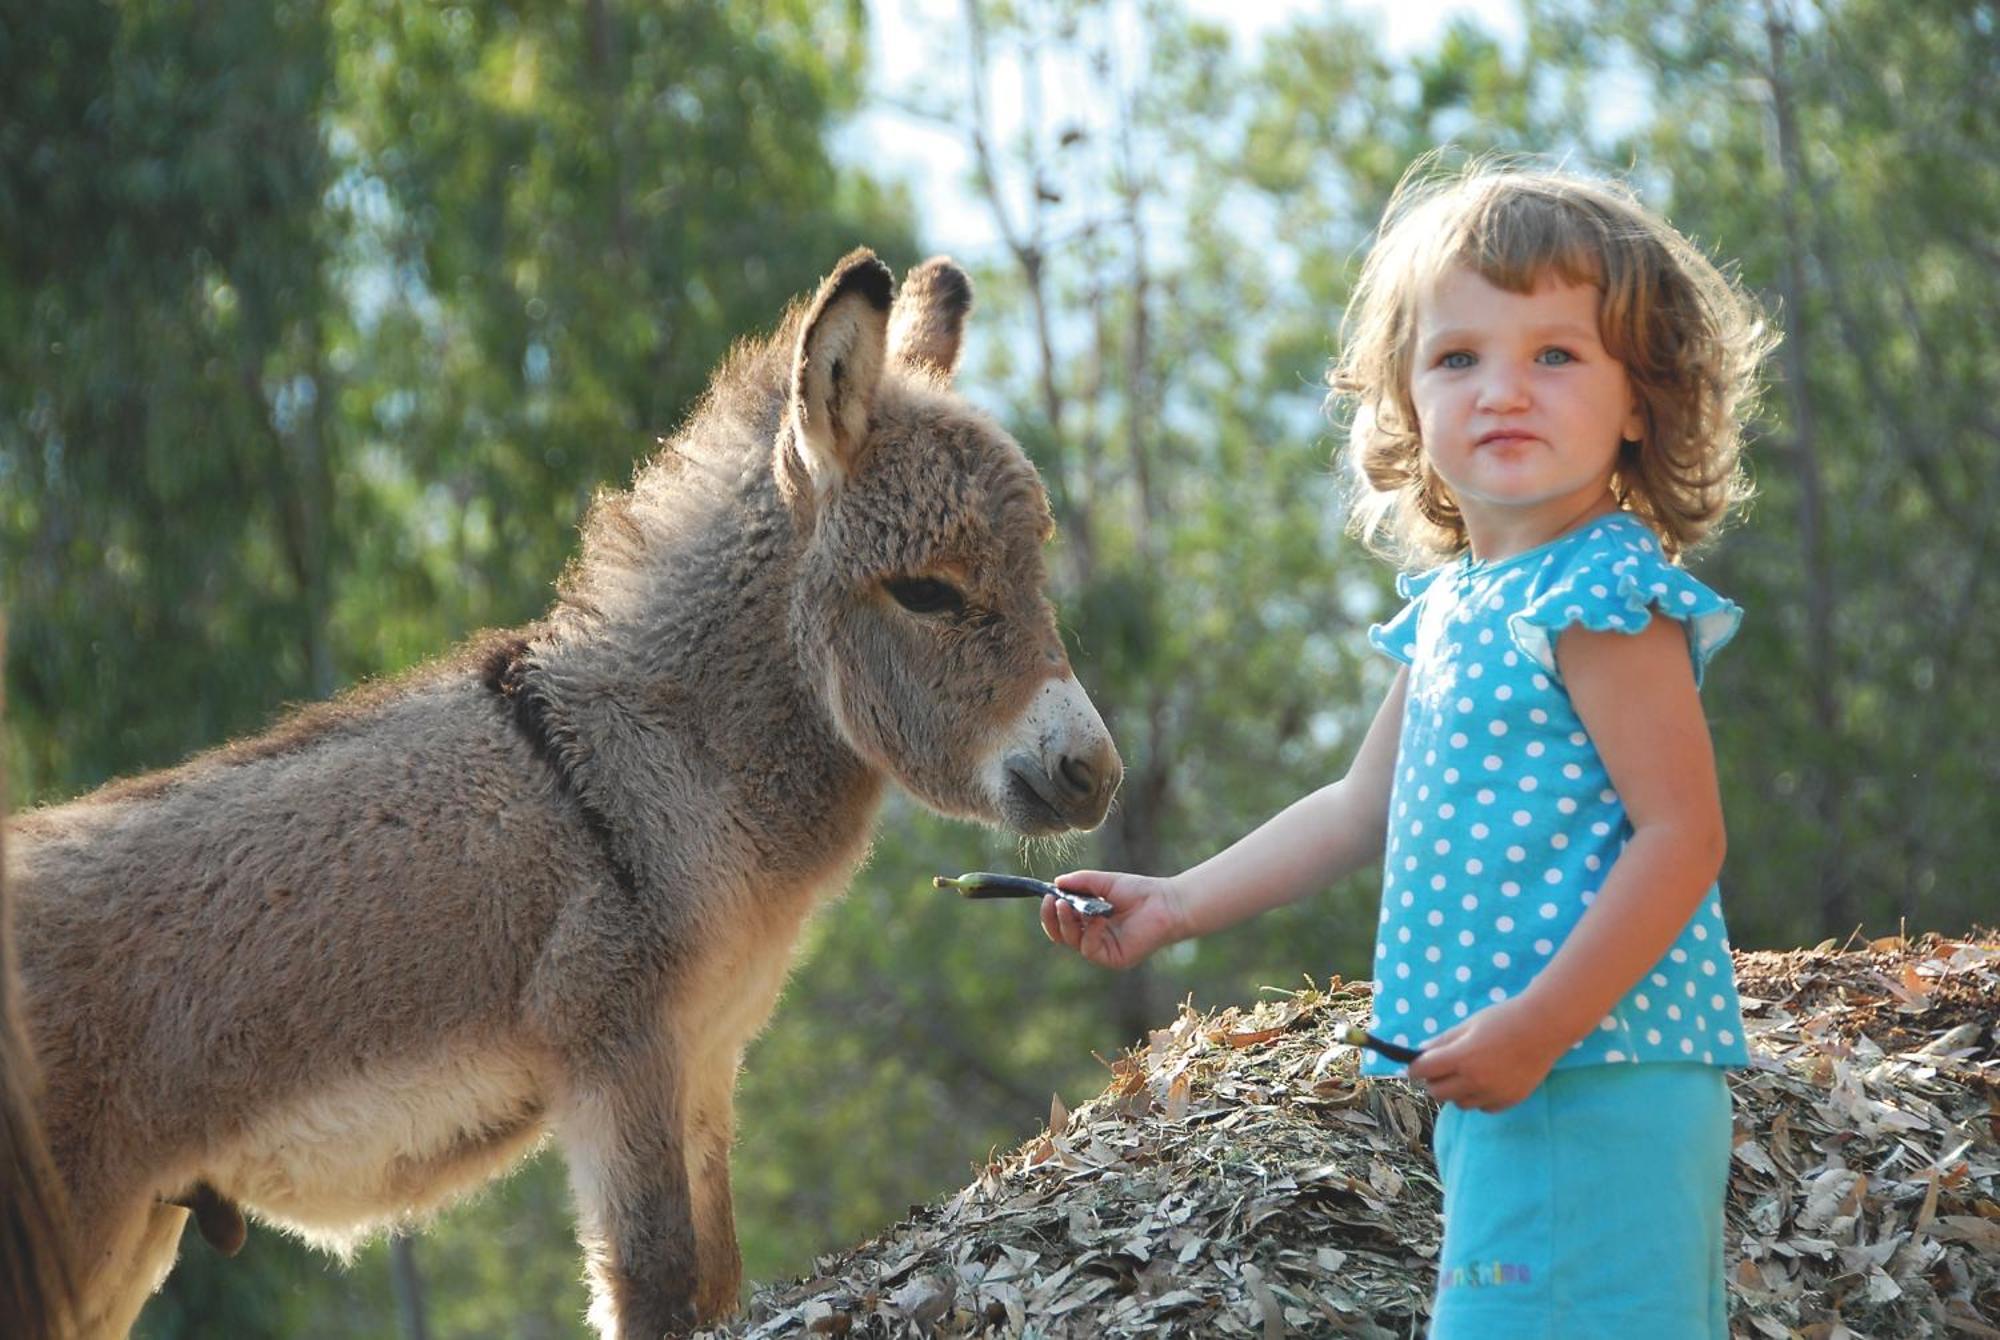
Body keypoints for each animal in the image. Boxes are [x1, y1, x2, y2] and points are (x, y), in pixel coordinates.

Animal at [7, 252, 1120, 1340]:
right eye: (925, 590)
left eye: (1032, 563)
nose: (1094, 772)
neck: (654, 772)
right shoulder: (614, 1064)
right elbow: (657, 1285)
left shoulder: (703, 1061)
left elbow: (716, 1277)